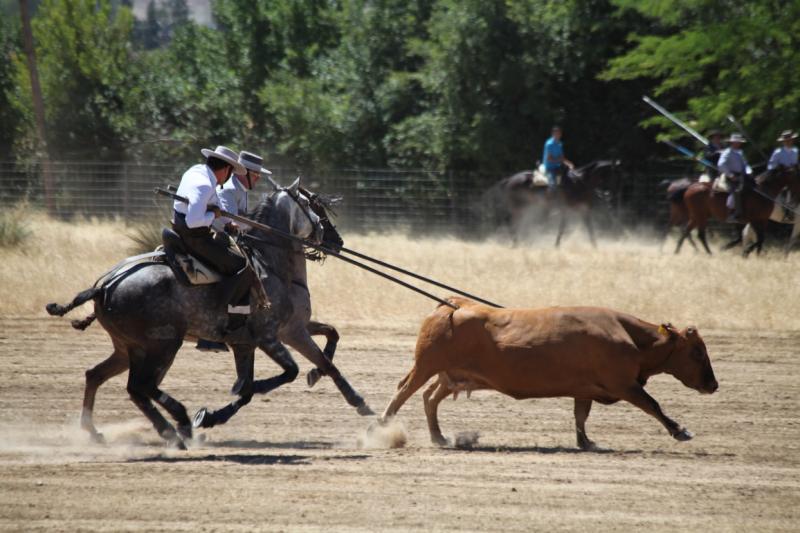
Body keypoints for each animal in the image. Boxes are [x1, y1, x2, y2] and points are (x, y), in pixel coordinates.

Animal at [380, 298, 720, 446]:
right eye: (697, 351)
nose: (713, 384)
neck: (630, 337)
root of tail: (453, 304)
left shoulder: (585, 390)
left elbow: (580, 416)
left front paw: (586, 443)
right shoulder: (624, 384)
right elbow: (653, 405)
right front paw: (680, 430)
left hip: (450, 376)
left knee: (429, 398)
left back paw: (439, 437)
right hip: (426, 366)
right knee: (403, 393)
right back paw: (382, 427)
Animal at [668, 167, 800, 256]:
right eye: (796, 177)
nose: (793, 201)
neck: (763, 191)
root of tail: (690, 187)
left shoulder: (761, 220)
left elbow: (760, 238)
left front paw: (751, 253)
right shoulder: (756, 220)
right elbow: (759, 238)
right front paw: (747, 252)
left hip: (697, 216)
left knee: (687, 231)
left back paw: (679, 251)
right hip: (700, 216)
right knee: (699, 234)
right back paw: (709, 253)